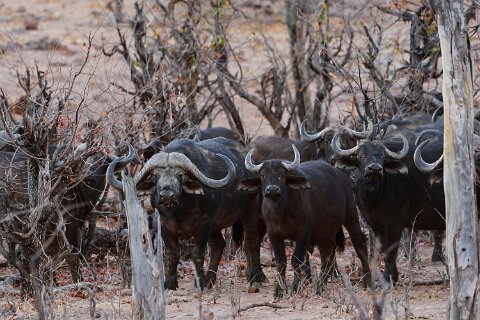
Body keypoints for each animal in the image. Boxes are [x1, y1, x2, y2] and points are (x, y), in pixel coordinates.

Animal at [107, 138, 266, 290]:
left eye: (180, 175)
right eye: (156, 176)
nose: (166, 195)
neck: (179, 211)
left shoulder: (204, 225)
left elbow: (197, 253)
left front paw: (200, 282)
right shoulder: (165, 226)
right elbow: (172, 253)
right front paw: (170, 283)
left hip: (250, 212)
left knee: (251, 241)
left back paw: (256, 277)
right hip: (216, 226)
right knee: (219, 245)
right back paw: (211, 279)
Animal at [236, 144, 372, 298]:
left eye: (282, 175)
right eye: (263, 176)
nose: (272, 190)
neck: (282, 211)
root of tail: (342, 177)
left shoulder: (303, 232)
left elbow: (297, 260)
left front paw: (296, 287)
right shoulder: (273, 233)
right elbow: (281, 262)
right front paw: (279, 291)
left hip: (351, 216)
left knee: (359, 244)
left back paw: (367, 281)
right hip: (325, 232)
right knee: (328, 254)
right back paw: (320, 286)